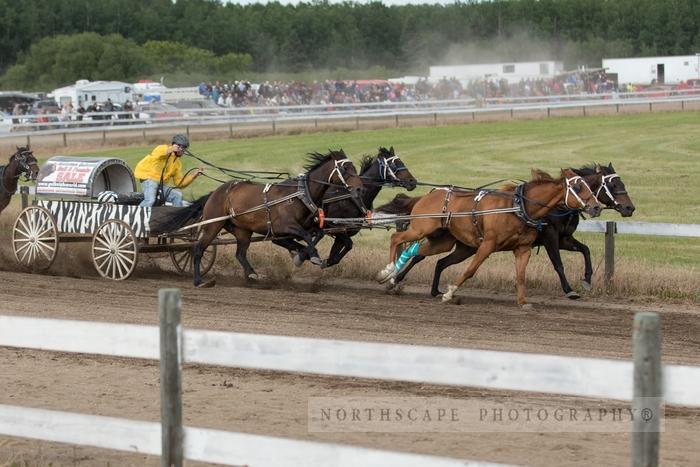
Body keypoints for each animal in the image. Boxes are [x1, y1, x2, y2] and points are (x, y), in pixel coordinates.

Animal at [160, 150, 366, 288]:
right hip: (213, 225)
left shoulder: (308, 226)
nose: (359, 188)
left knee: (240, 254)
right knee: (197, 249)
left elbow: (318, 234)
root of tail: (215, 193)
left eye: (353, 167)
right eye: (345, 168)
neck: (299, 196)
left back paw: (251, 274)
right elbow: (306, 238)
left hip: (242, 230)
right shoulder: (285, 226)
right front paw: (309, 256)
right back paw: (198, 280)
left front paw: (303, 255)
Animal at [284, 146, 418, 270]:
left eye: (401, 161)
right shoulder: (335, 227)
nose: (412, 181)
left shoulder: (345, 232)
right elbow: (347, 244)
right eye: (394, 164)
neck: (352, 198)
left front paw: (325, 261)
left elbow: (343, 249)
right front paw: (307, 256)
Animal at [388, 163, 636, 300]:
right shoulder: (550, 238)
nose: (629, 208)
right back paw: (392, 276)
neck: (523, 205)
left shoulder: (563, 238)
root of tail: (430, 194)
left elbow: (585, 251)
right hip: (426, 229)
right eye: (613, 185)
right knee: (406, 246)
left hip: (459, 245)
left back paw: (423, 287)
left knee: (433, 259)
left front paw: (586, 280)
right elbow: (558, 264)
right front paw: (570, 290)